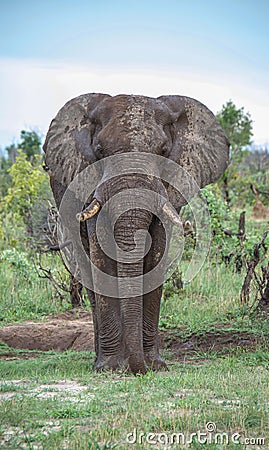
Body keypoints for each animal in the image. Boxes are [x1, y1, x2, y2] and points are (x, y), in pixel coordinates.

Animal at [43, 93, 228, 374]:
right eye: (99, 151)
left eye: (163, 152)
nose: (137, 368)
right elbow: (101, 258)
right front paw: (109, 367)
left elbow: (158, 255)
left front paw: (156, 365)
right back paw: (98, 360)